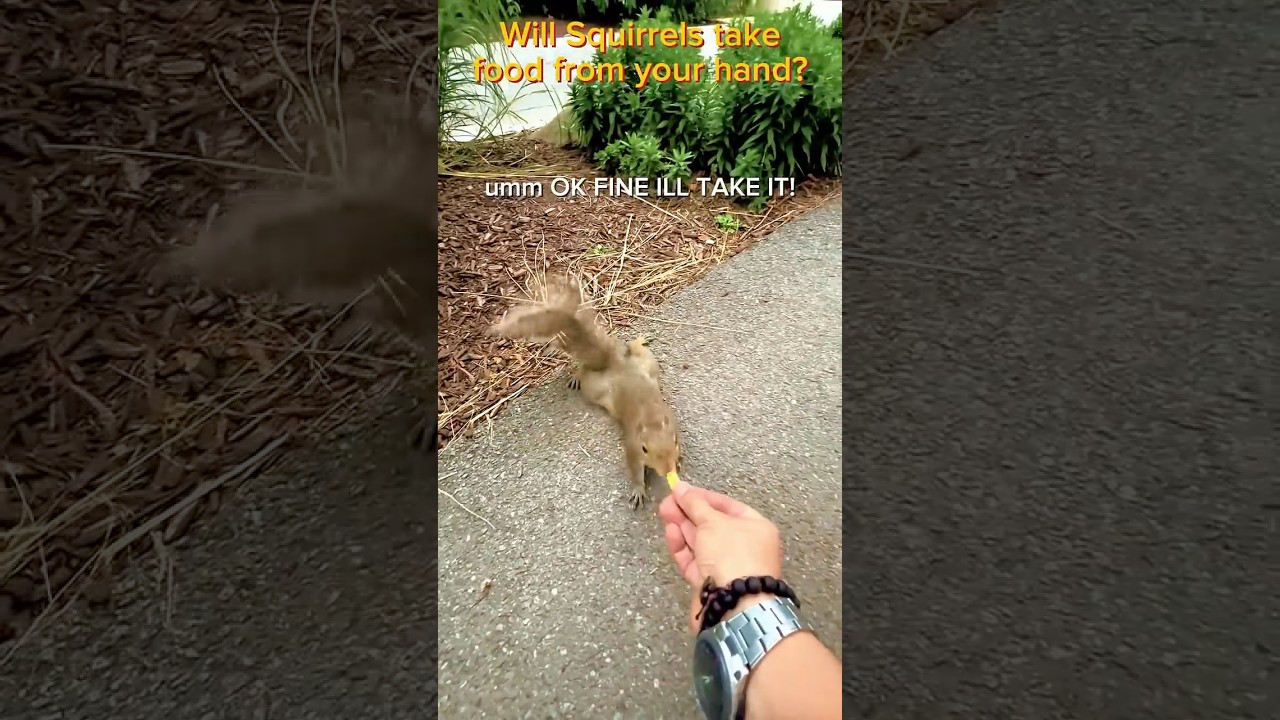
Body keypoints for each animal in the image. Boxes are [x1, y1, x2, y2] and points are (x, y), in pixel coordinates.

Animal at [489, 275, 682, 509]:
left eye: (675, 441)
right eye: (645, 449)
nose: (667, 469)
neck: (651, 418)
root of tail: (616, 363)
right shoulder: (632, 447)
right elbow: (634, 469)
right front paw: (638, 489)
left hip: (648, 364)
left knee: (637, 350)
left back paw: (639, 341)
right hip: (595, 389)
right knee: (585, 372)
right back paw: (576, 376)